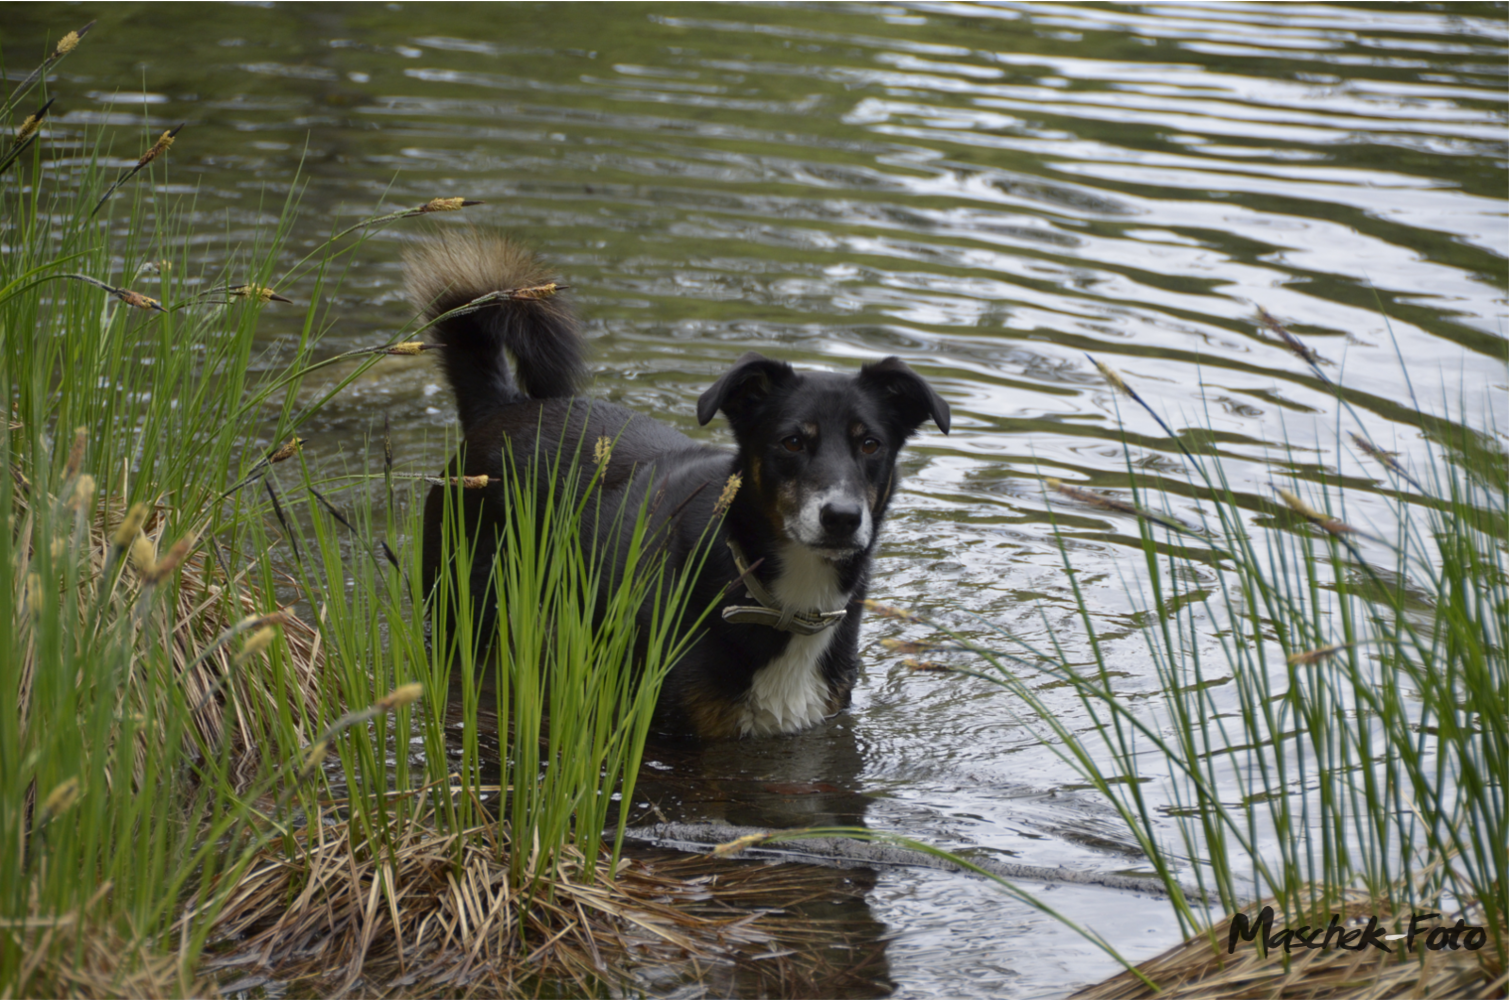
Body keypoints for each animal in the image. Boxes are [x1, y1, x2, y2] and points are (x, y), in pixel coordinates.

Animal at [413, 231, 948, 740]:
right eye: (792, 441)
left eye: (871, 444)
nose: (841, 518)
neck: (784, 603)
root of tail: (500, 406)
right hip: (462, 611)